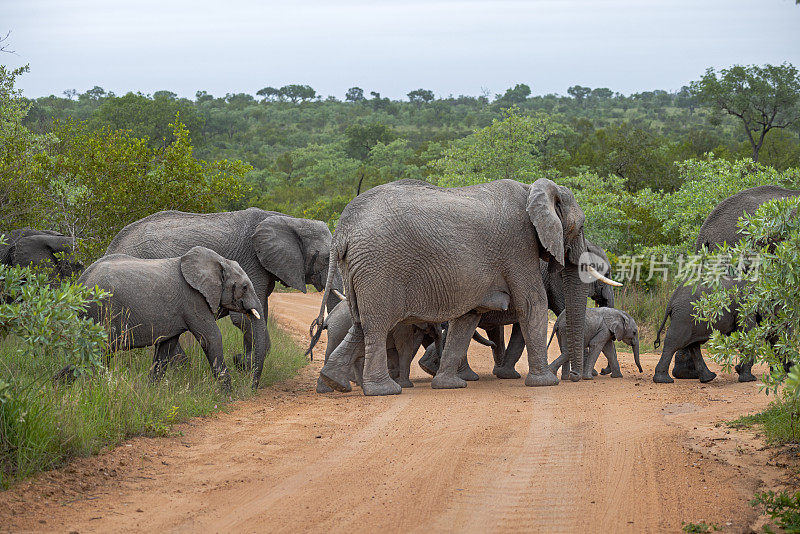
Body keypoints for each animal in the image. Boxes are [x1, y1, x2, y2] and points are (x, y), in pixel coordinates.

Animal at [66, 246, 262, 390]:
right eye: (245, 287)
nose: (251, 387)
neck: (218, 261)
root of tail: (80, 284)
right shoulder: (193, 299)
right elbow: (210, 338)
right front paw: (229, 393)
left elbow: (166, 347)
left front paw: (150, 391)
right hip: (100, 311)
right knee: (99, 351)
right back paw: (97, 388)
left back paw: (62, 385)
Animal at [104, 208, 340, 390]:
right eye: (326, 257)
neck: (289, 220)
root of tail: (111, 246)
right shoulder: (252, 261)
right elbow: (244, 319)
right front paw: (243, 364)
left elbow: (258, 314)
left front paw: (243, 363)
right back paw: (183, 369)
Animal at [310, 180, 612, 398]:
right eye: (581, 225)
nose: (577, 378)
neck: (533, 190)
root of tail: (343, 229)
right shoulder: (518, 245)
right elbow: (532, 303)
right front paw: (545, 383)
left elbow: (468, 317)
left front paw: (448, 386)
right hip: (379, 268)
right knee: (377, 325)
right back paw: (383, 391)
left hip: (359, 269)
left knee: (360, 323)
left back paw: (335, 382)